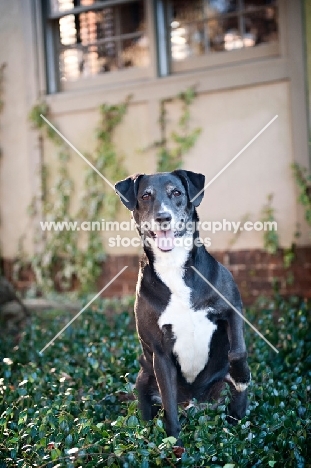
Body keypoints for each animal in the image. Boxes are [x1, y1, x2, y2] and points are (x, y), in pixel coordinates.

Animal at [116, 170, 252, 444]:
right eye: (145, 196)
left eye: (176, 192)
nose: (163, 217)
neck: (173, 264)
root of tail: (194, 404)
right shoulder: (160, 354)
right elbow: (168, 405)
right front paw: (174, 443)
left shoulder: (232, 309)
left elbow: (237, 351)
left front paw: (241, 375)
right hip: (143, 379)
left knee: (235, 405)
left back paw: (237, 424)